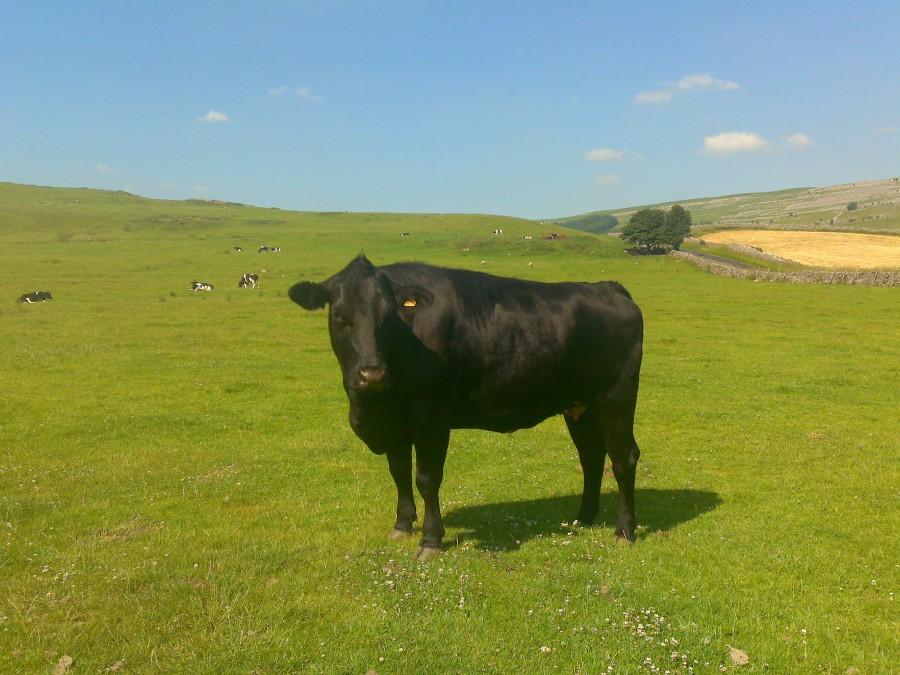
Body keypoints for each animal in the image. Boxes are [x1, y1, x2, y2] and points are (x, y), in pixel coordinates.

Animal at [289, 255, 643, 560]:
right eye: (339, 316)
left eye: (388, 316)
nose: (372, 374)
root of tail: (607, 287)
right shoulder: (396, 423)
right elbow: (399, 471)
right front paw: (402, 525)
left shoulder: (431, 416)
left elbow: (426, 478)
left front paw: (430, 540)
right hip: (580, 407)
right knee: (592, 457)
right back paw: (583, 517)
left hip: (616, 399)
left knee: (623, 458)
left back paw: (624, 532)